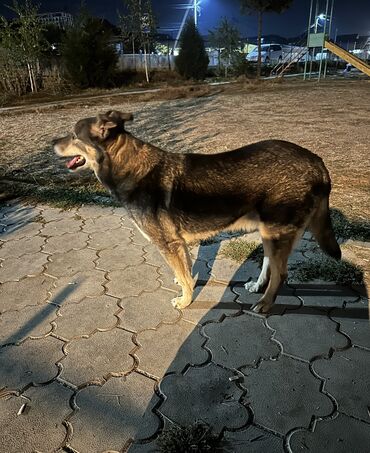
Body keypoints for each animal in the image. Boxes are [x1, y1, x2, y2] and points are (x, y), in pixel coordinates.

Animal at [52, 111, 342, 312]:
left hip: (275, 231)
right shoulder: (179, 244)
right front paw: (187, 287)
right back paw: (257, 286)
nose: (53, 142)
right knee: (270, 264)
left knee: (281, 273)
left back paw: (265, 303)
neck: (131, 168)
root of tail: (317, 162)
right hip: (271, 233)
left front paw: (185, 301)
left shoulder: (168, 244)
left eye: (74, 135)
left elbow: (183, 275)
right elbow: (186, 273)